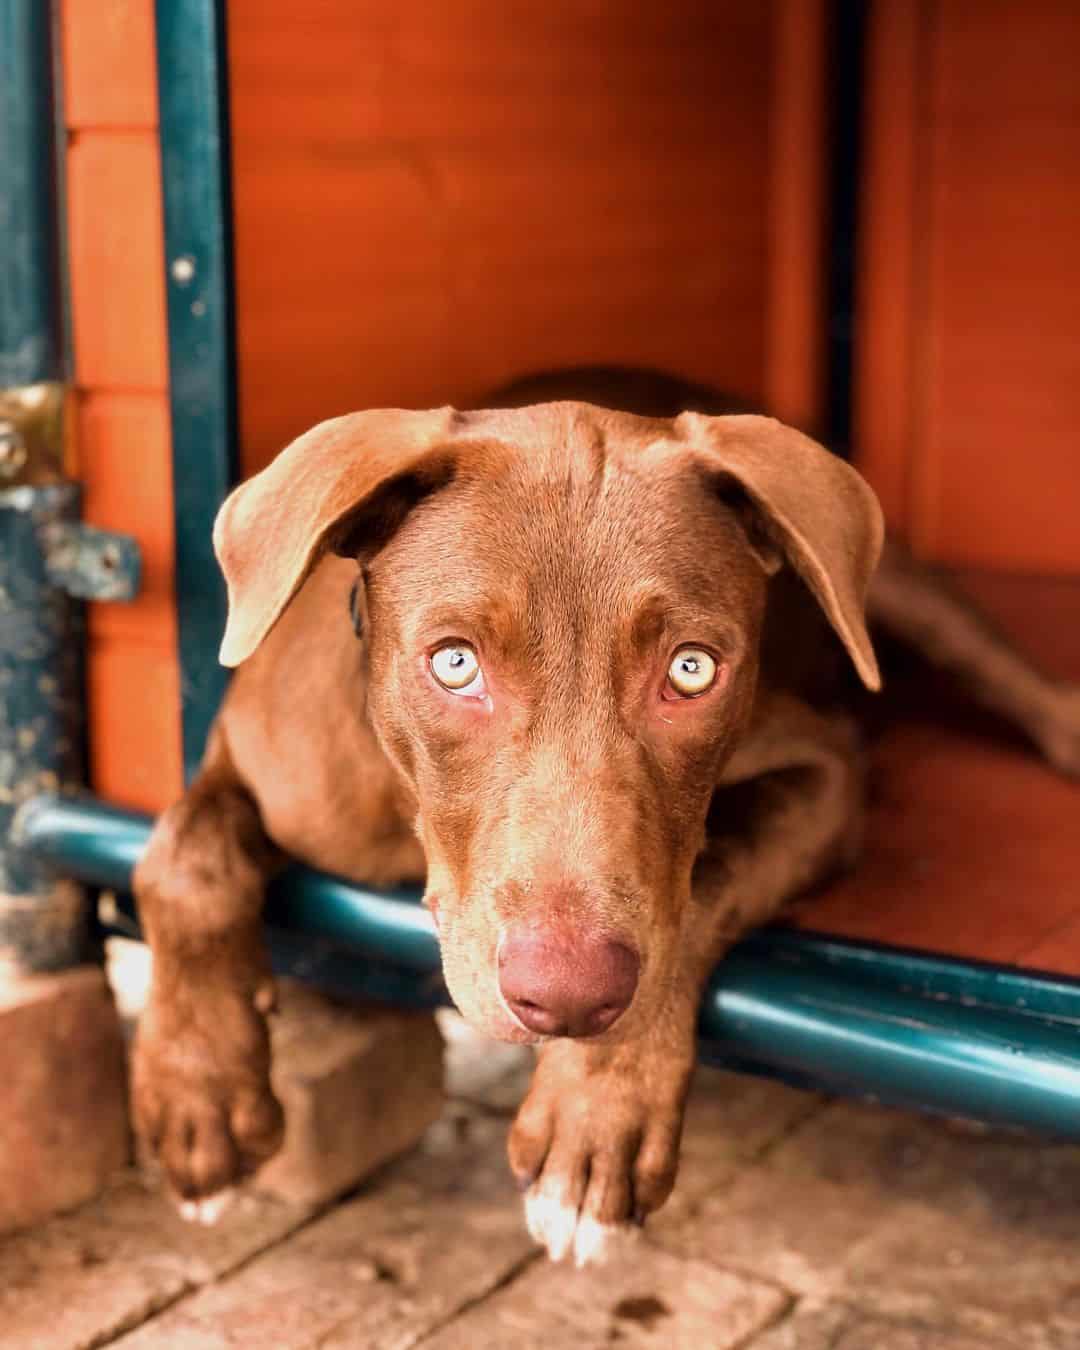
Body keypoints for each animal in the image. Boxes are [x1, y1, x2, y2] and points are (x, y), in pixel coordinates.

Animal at [135, 367, 1080, 1263]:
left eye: (692, 670)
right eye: (453, 663)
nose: (565, 998)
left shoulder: (827, 773)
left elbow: (705, 880)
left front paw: (595, 1112)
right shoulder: (254, 755)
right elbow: (180, 857)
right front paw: (199, 1094)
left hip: (905, 597)